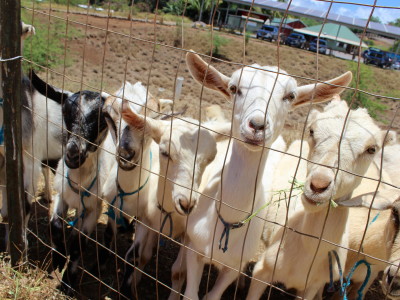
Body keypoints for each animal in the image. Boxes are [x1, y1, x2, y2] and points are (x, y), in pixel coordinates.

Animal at [170, 52, 352, 300]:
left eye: (290, 96)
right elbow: (190, 291)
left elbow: (213, 295)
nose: (257, 125)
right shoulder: (195, 249)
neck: (227, 224)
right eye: (234, 88)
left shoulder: (235, 266)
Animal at [248, 99, 396, 300]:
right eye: (311, 130)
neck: (309, 249)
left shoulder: (312, 285)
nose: (318, 185)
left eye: (371, 149)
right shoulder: (262, 271)